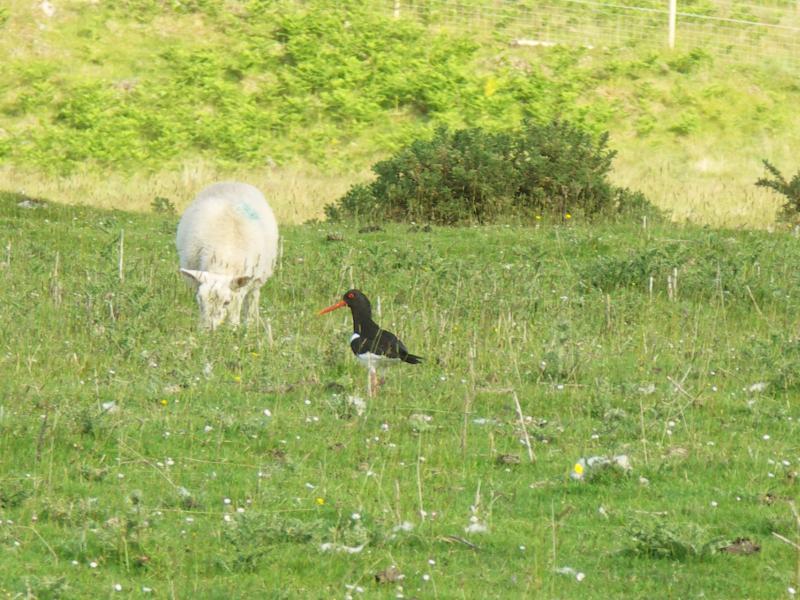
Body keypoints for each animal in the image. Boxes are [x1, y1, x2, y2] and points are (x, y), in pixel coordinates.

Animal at [176, 182, 279, 330]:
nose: (207, 330)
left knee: (252, 300)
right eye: (200, 300)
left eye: (226, 302)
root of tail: (234, 182)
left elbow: (237, 307)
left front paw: (235, 327)